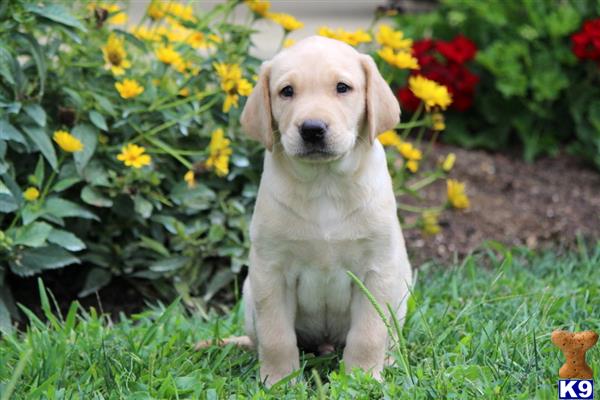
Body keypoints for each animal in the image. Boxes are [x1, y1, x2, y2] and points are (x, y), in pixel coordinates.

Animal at [239, 36, 412, 386]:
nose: (312, 128)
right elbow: (276, 336)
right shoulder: (271, 271)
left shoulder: (377, 270)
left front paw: (362, 378)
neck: (324, 183)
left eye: (342, 88)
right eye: (286, 91)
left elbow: (369, 333)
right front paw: (279, 381)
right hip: (248, 294)